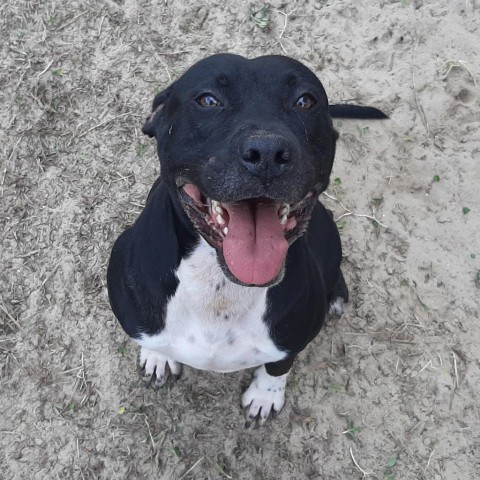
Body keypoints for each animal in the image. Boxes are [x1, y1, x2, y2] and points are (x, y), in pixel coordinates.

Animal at [106, 54, 386, 426]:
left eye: (305, 101)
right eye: (208, 100)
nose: (267, 152)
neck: (219, 285)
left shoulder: (290, 340)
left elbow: (279, 366)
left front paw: (265, 396)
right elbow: (149, 336)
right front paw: (157, 355)